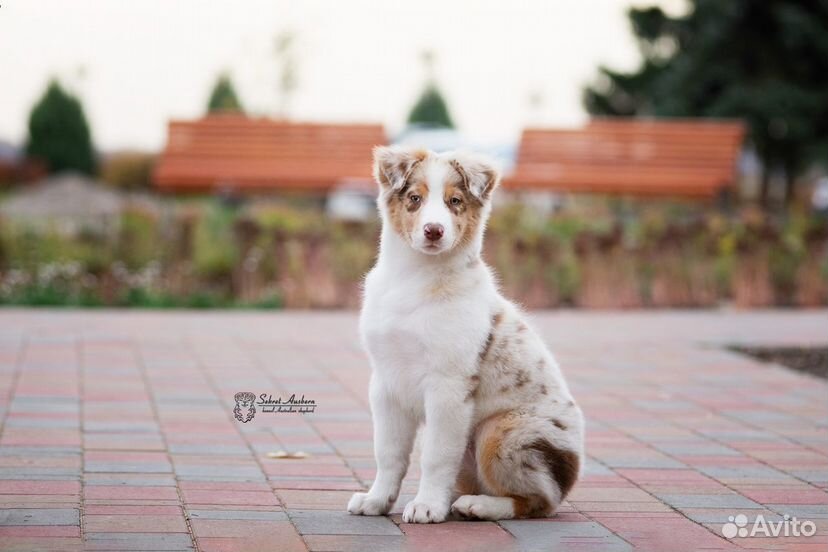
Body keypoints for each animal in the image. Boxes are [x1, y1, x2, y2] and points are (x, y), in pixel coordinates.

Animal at [346, 146, 584, 520]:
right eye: (415, 198)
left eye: (454, 201)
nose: (433, 230)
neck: (416, 278)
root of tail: (569, 478)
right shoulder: (386, 383)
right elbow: (388, 453)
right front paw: (377, 499)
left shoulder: (448, 385)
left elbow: (435, 455)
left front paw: (426, 506)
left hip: (500, 431)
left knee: (536, 501)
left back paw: (479, 505)